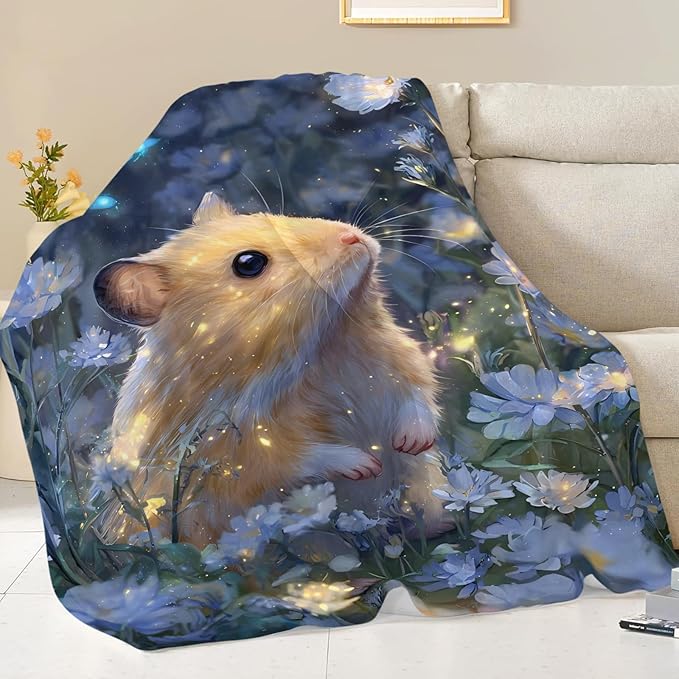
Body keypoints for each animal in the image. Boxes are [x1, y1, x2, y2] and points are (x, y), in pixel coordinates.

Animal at [95, 192, 445, 547]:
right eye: (249, 264)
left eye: (281, 216)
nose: (352, 237)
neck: (326, 345)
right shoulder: (240, 449)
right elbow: (295, 458)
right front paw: (366, 466)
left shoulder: (399, 358)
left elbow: (417, 395)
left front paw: (411, 443)